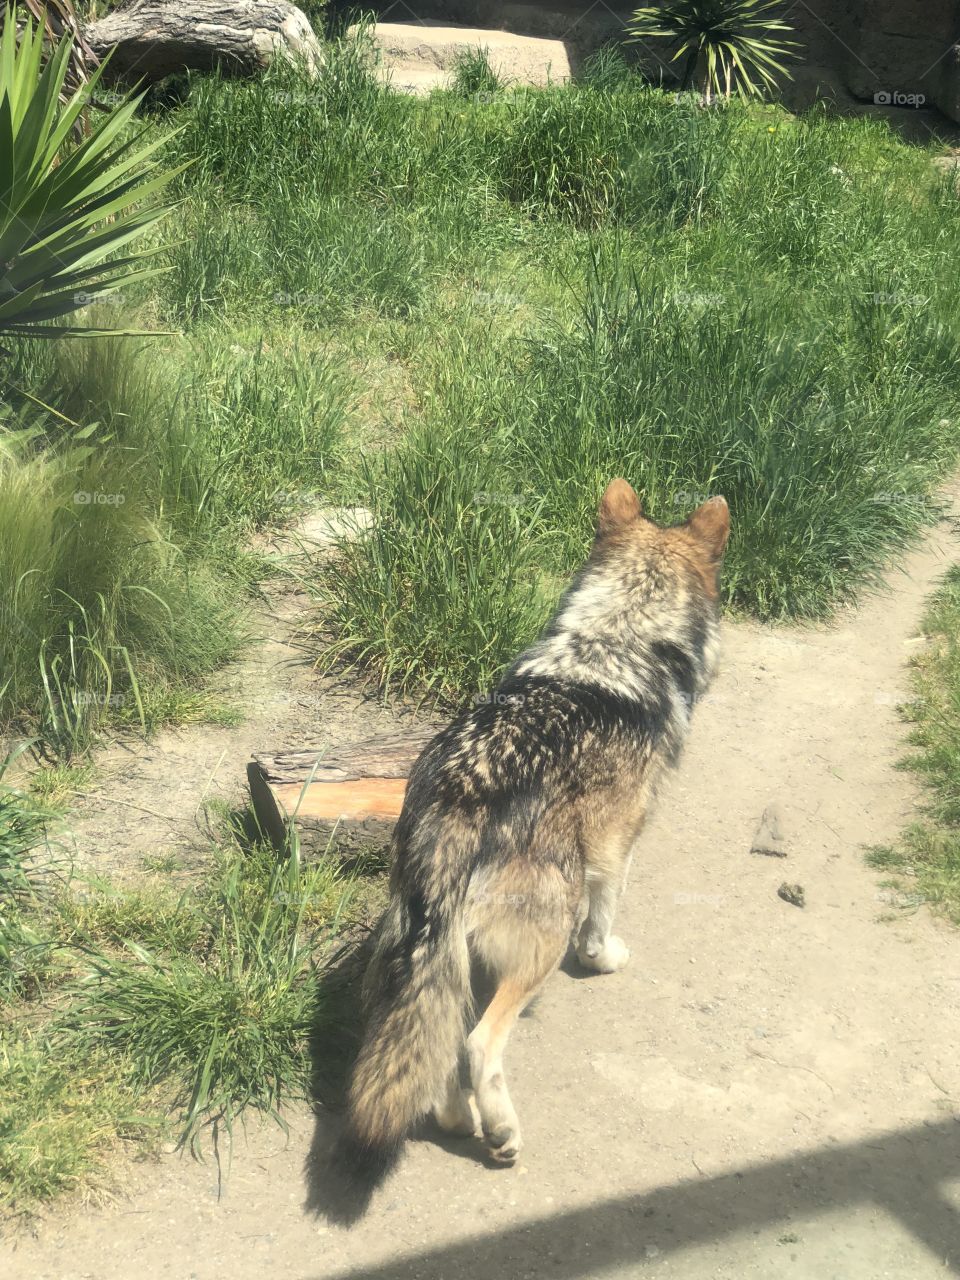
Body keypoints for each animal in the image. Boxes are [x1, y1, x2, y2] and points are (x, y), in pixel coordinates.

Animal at [331, 479, 729, 1215]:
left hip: (420, 952)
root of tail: (459, 801)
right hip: (541, 937)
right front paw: (607, 959)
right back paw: (501, 1131)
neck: (619, 634)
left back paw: (459, 1119)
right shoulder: (616, 850)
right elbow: (603, 927)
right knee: (477, 1045)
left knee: (436, 1045)